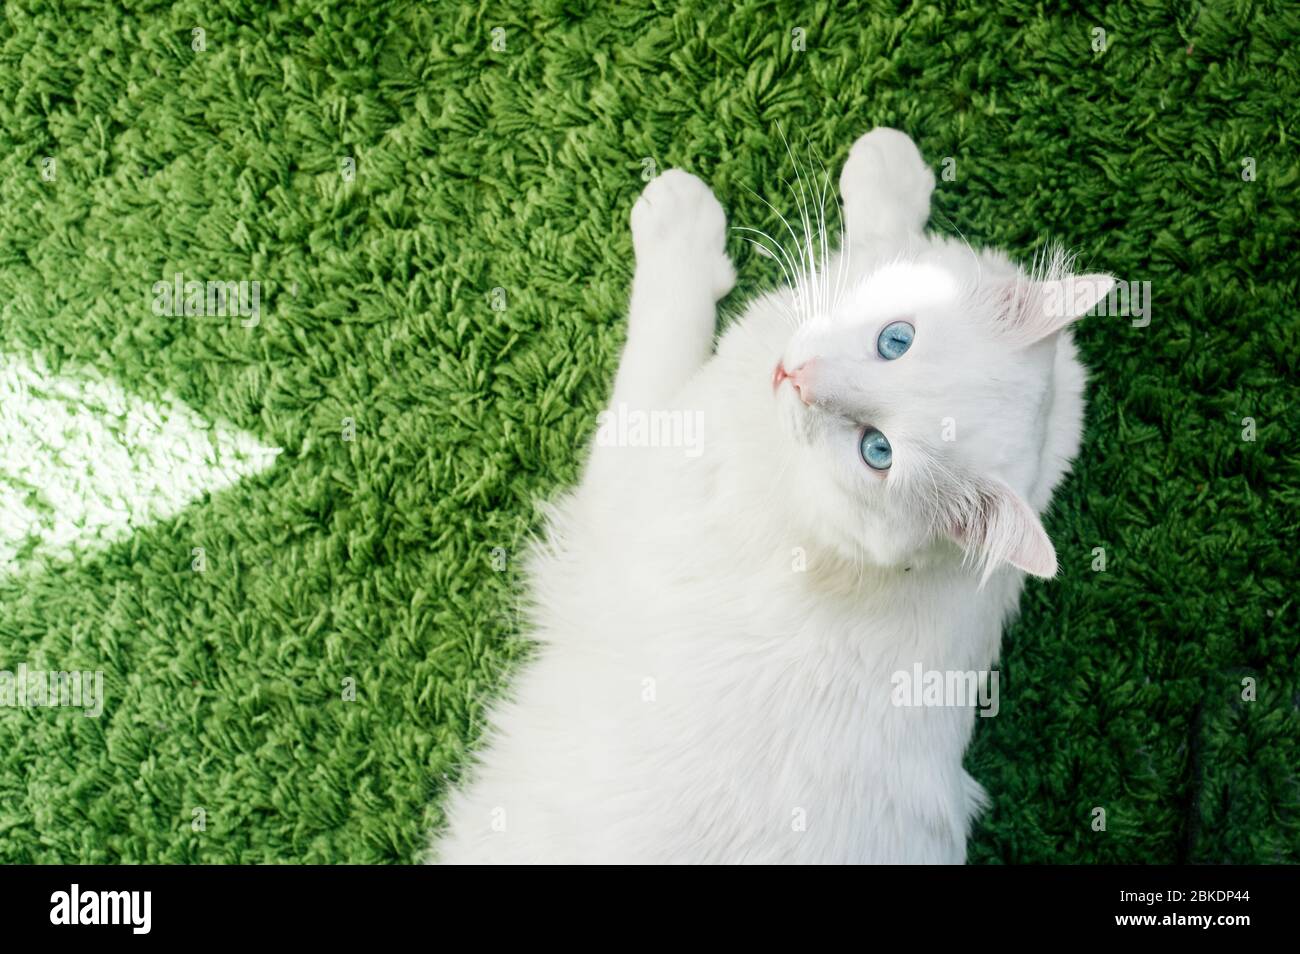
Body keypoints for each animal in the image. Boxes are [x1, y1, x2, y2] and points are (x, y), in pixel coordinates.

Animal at [434, 127, 1107, 868]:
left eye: (878, 452)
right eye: (895, 340)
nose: (797, 378)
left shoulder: (628, 481)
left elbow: (663, 328)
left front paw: (678, 220)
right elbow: (887, 237)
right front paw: (890, 173)